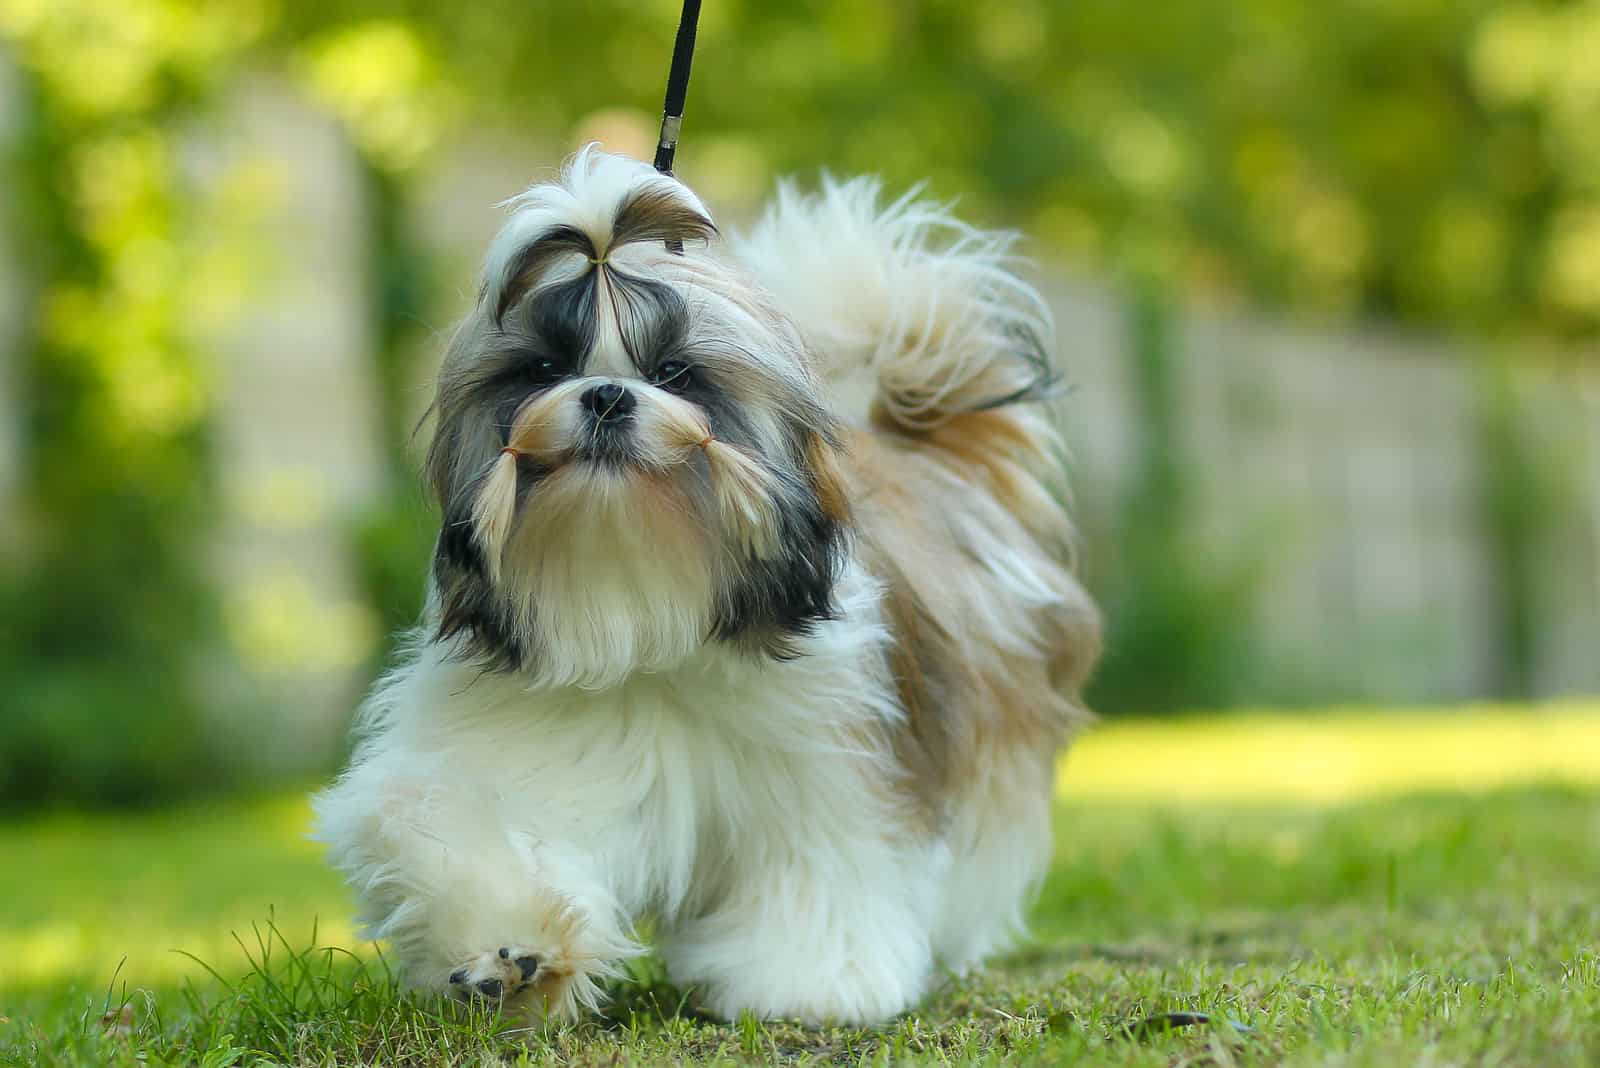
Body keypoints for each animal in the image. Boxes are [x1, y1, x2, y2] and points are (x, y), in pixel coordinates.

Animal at [318, 150, 1107, 1023]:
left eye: (675, 373)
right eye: (544, 370)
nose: (605, 394)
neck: (637, 606)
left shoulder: (825, 774)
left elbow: (820, 872)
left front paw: (812, 980)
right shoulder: (512, 752)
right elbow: (445, 819)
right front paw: (509, 952)